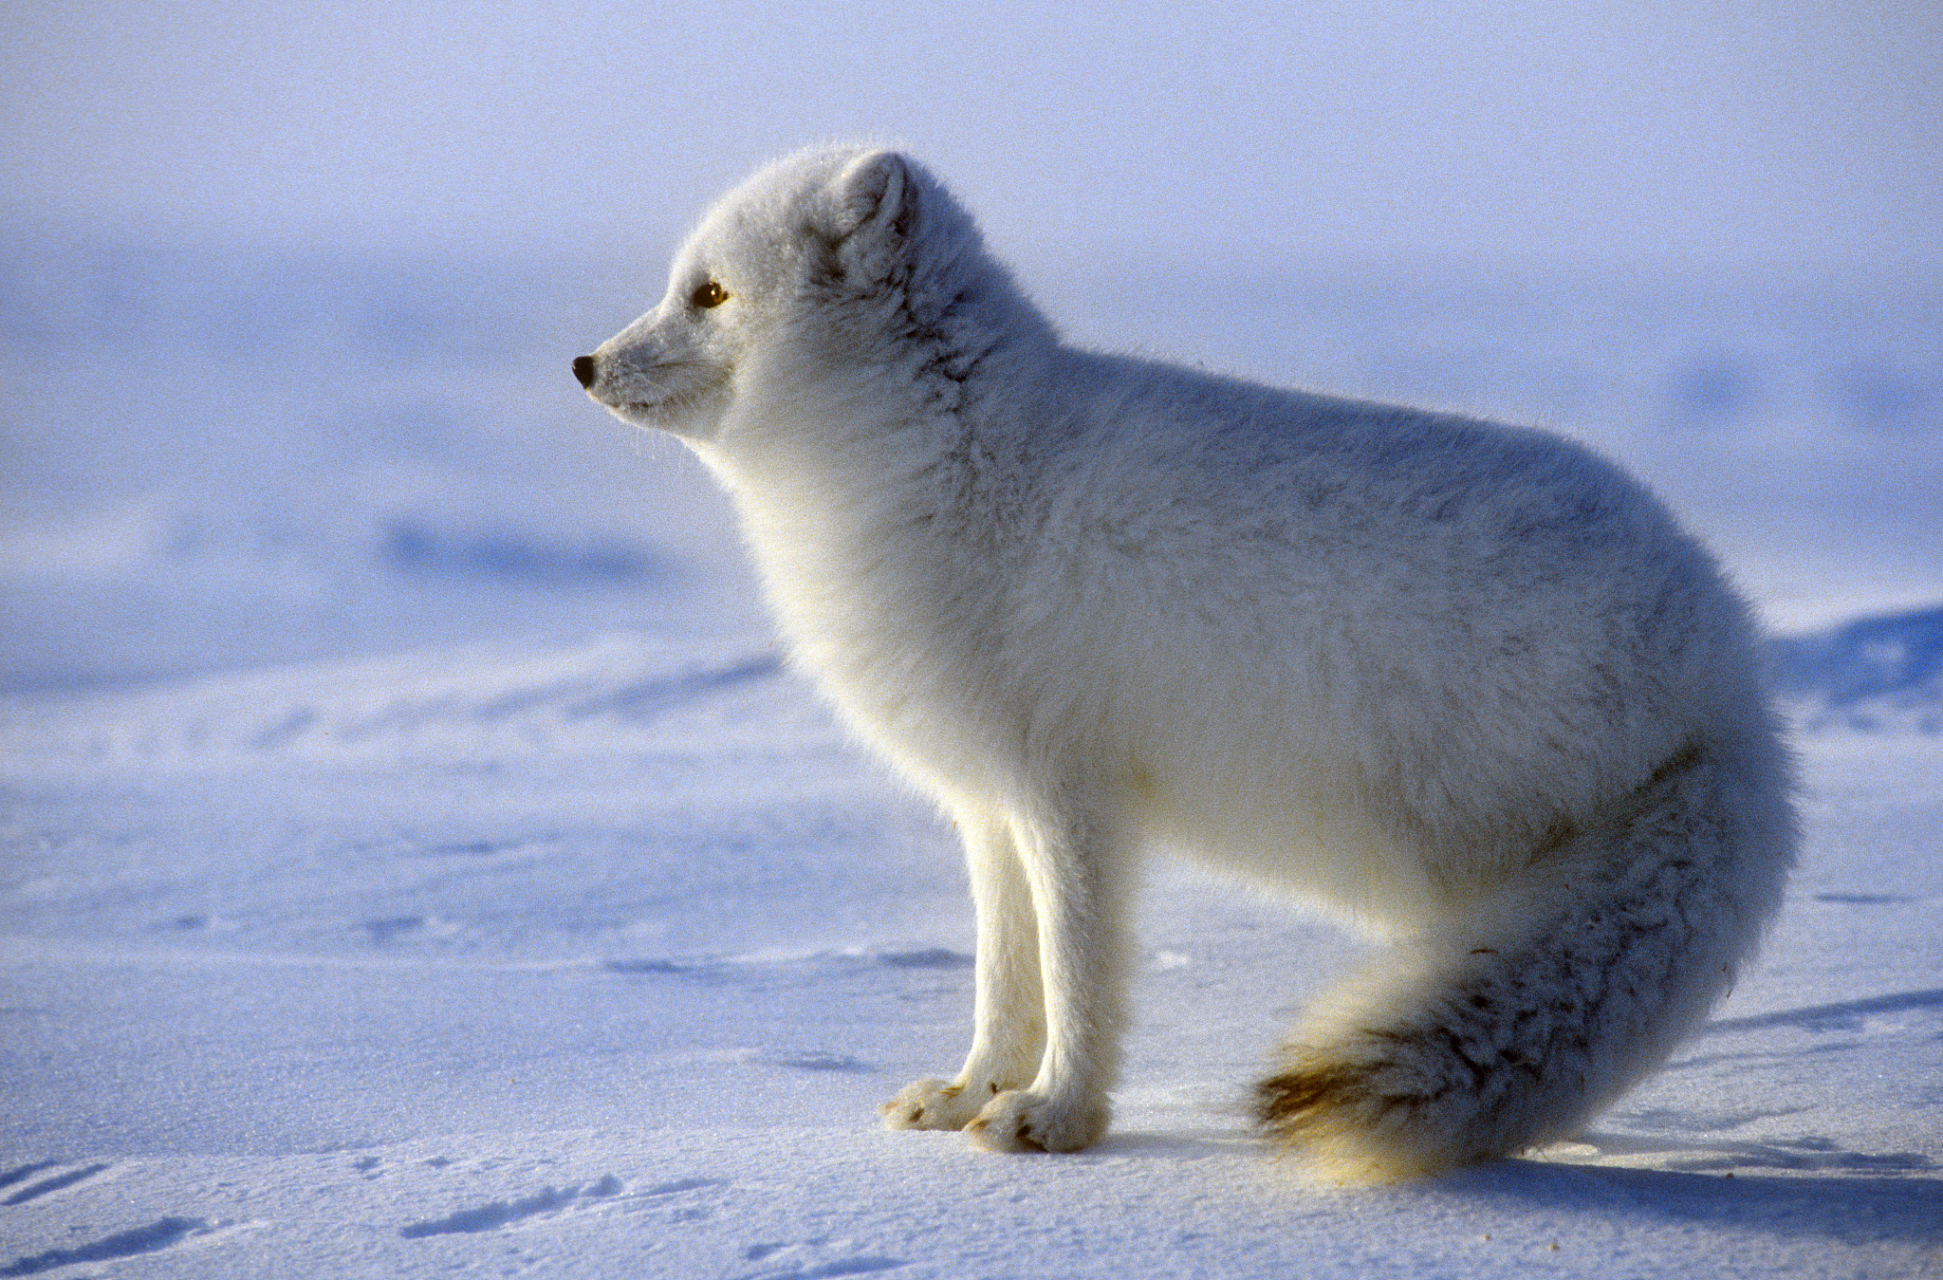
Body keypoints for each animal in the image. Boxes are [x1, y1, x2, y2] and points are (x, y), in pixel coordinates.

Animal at [567, 147, 1795, 1180]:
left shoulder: (1071, 795)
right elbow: (1001, 979)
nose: (582, 364)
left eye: (709, 294)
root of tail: (1730, 682)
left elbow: (1076, 975)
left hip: (1472, 863)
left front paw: (1057, 1119)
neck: (943, 463)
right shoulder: (987, 804)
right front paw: (969, 1094)